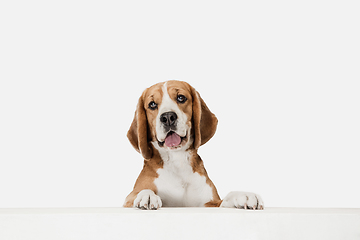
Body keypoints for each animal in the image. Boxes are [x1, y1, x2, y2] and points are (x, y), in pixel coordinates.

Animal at [124, 80, 264, 210]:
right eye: (152, 104)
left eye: (181, 98)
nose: (168, 117)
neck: (177, 160)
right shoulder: (128, 201)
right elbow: (142, 191)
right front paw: (147, 195)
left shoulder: (209, 203)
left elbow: (226, 199)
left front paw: (244, 195)